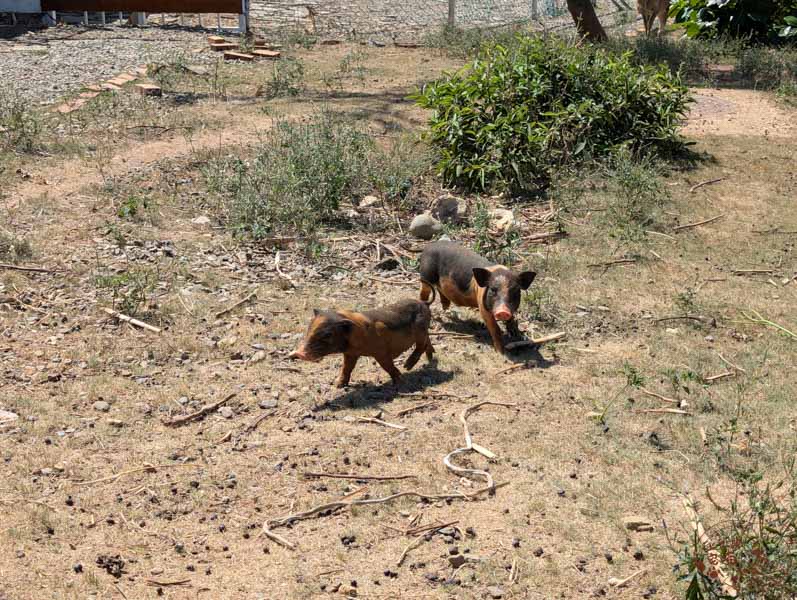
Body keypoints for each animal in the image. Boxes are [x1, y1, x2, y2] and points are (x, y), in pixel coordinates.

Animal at [290, 292, 436, 386]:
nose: (298, 353)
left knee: (421, 345)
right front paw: (338, 385)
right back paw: (430, 358)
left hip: (420, 330)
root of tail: (424, 302)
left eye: (328, 335)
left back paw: (407, 367)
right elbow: (346, 368)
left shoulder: (381, 352)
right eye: (309, 328)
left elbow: (387, 366)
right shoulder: (350, 353)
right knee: (427, 342)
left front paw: (399, 381)